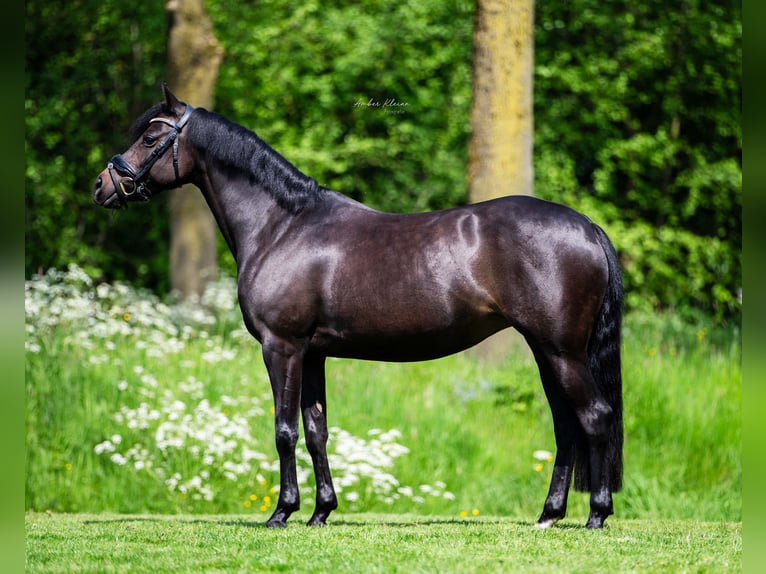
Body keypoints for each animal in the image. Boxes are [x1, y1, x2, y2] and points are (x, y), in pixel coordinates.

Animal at [94, 85, 624, 532]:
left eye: (151, 136)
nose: (102, 186)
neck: (282, 226)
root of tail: (587, 227)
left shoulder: (281, 347)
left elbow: (284, 429)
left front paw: (282, 513)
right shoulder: (312, 354)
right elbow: (315, 431)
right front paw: (320, 513)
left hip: (561, 351)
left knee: (594, 417)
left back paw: (596, 515)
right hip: (545, 350)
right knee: (566, 425)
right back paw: (548, 515)